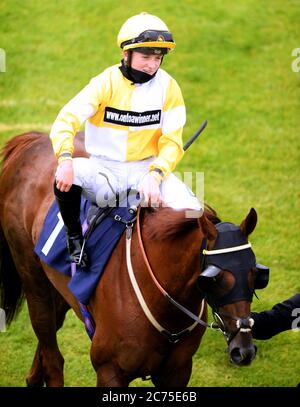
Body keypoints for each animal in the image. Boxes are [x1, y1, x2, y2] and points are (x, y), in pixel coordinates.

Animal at [0, 132, 262, 388]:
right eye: (215, 278)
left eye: (255, 273)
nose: (244, 351)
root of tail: (32, 139)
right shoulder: (110, 370)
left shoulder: (177, 372)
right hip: (33, 279)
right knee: (52, 356)